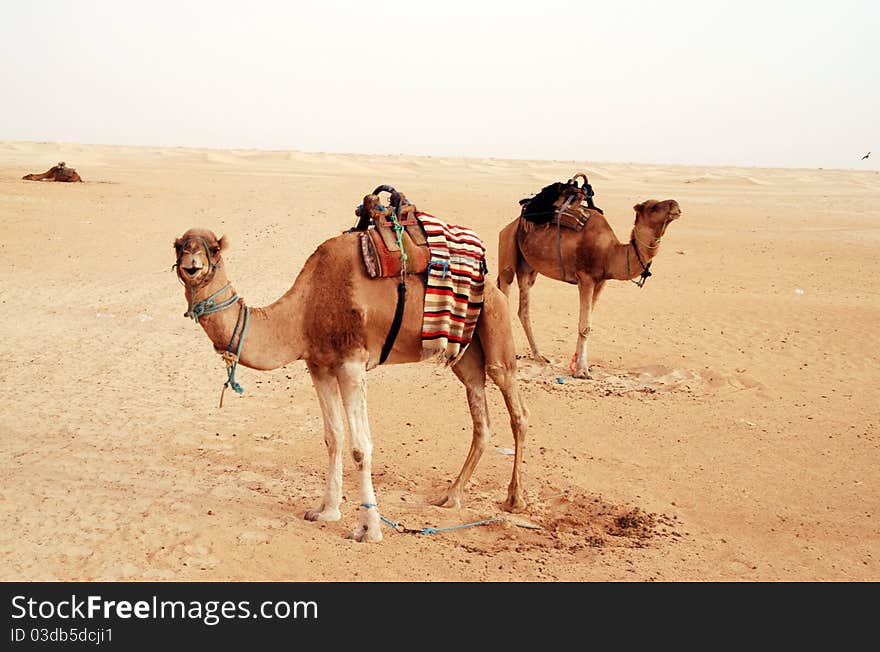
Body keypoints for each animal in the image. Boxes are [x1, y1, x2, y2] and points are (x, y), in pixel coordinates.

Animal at [173, 227, 528, 544]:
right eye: (178, 247)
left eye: (213, 249)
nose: (192, 263)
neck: (303, 311)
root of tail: (489, 282)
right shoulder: (319, 365)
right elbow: (333, 437)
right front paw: (325, 511)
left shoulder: (351, 363)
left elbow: (360, 446)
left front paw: (368, 530)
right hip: (464, 353)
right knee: (481, 416)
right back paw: (451, 496)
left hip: (495, 323)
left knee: (516, 407)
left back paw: (514, 500)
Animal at [498, 191, 676, 380]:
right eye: (654, 207)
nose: (676, 205)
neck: (610, 253)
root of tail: (512, 224)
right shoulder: (586, 278)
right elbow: (584, 326)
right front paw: (582, 371)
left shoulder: (601, 281)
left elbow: (587, 322)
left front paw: (578, 366)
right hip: (507, 249)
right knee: (505, 290)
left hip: (528, 267)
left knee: (523, 308)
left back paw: (539, 356)